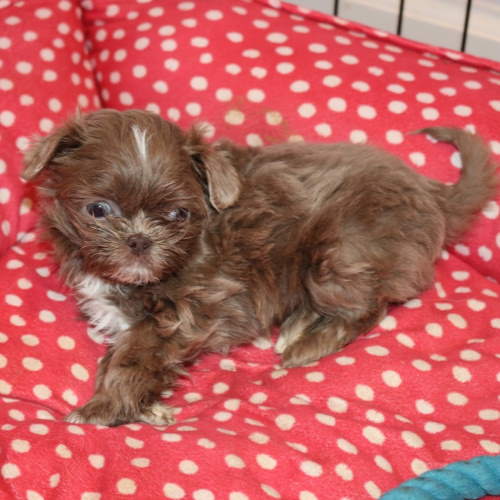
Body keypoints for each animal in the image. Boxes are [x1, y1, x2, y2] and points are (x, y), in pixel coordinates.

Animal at [23, 109, 496, 426]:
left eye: (178, 215)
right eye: (98, 210)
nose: (138, 241)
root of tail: (431, 191)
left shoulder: (184, 312)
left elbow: (133, 356)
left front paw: (104, 407)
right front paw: (147, 406)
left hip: (337, 255)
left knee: (369, 306)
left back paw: (307, 343)